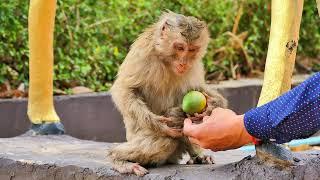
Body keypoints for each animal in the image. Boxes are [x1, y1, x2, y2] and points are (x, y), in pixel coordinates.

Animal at [107, 10, 228, 176]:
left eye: (192, 50)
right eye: (180, 47)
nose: (184, 63)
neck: (165, 59)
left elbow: (197, 88)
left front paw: (213, 104)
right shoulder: (143, 53)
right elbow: (125, 89)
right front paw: (157, 123)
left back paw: (197, 154)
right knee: (167, 140)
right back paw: (118, 157)